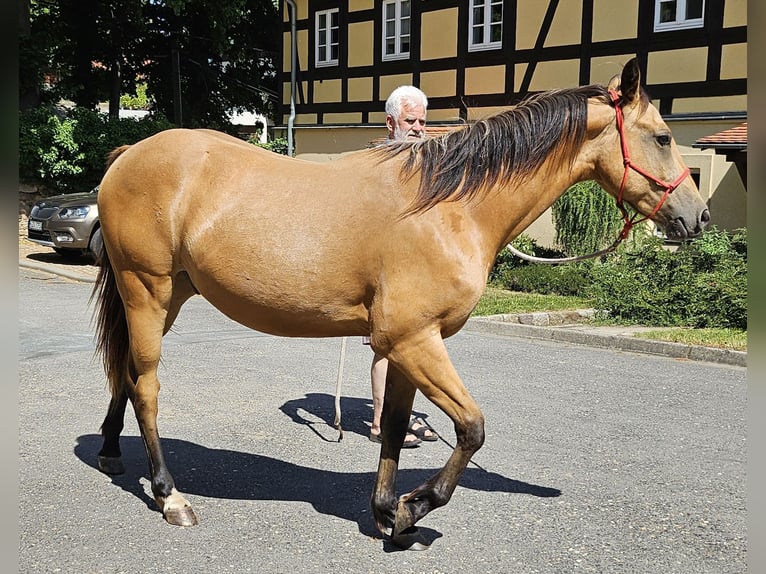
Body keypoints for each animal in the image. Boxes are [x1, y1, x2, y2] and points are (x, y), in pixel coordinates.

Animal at [91, 58, 709, 550]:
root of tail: (128, 155)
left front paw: (388, 512)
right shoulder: (414, 340)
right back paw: (170, 496)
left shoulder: (408, 346)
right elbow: (471, 428)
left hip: (167, 294)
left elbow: (391, 425)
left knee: (123, 373)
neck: (450, 206)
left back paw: (110, 450)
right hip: (146, 290)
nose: (697, 217)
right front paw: (416, 507)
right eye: (661, 137)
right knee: (145, 386)